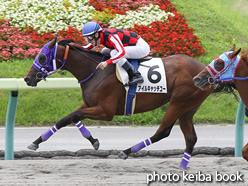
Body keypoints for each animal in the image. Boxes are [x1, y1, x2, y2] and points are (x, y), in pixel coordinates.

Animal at [24, 37, 213, 169]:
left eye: (42, 57)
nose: (27, 78)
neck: (95, 71)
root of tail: (205, 71)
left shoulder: (106, 111)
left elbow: (75, 116)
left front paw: (94, 141)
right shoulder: (90, 104)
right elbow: (66, 119)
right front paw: (37, 141)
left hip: (179, 102)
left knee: (163, 132)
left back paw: (126, 151)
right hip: (188, 108)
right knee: (190, 138)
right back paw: (182, 167)